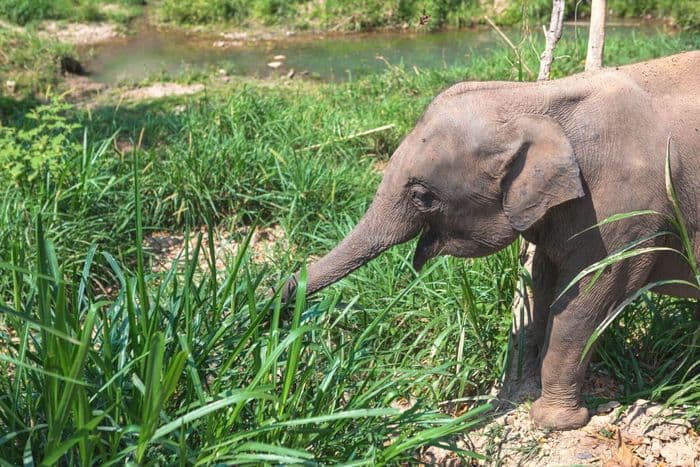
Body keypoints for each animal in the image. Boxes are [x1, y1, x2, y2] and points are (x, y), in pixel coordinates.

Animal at [284, 52, 700, 432]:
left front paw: (554, 422)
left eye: (422, 196)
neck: (537, 97)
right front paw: (523, 388)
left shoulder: (629, 213)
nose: (284, 304)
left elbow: (588, 301)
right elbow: (542, 283)